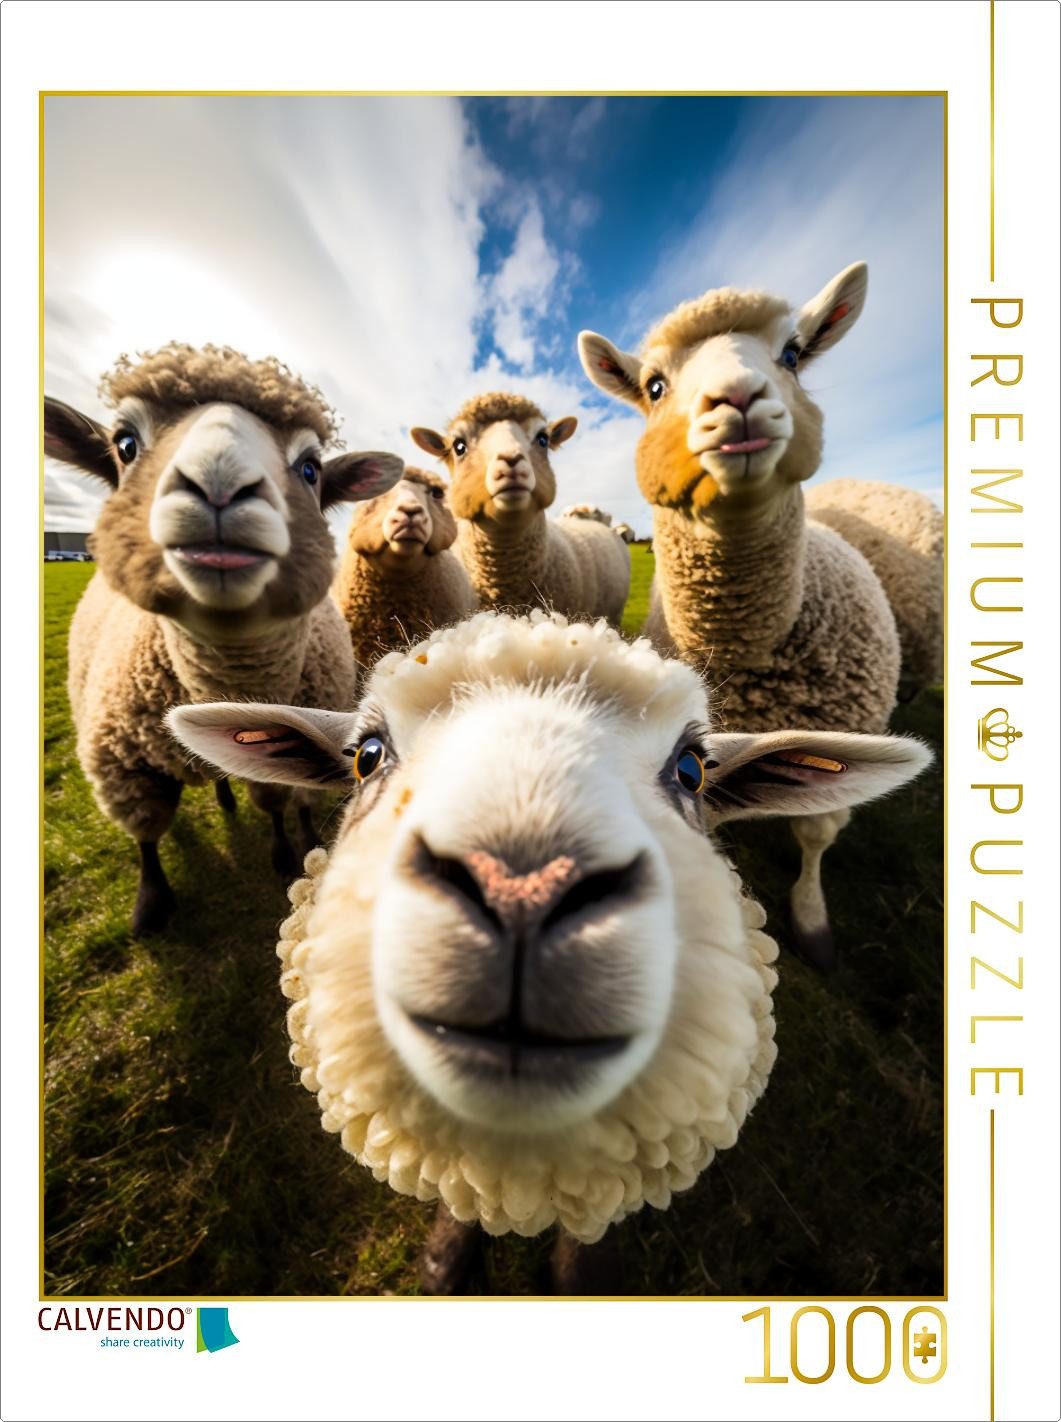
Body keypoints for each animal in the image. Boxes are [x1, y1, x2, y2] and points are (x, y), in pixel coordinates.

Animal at [45, 342, 403, 936]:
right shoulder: (125, 771)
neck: (228, 679)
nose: (219, 484)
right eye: (125, 444)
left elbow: (281, 801)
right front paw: (151, 902)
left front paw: (289, 848)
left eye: (310, 468)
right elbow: (146, 836)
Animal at [578, 262, 943, 968]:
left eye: (793, 354)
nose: (736, 398)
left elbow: (818, 834)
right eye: (655, 386)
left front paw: (812, 920)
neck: (748, 648)